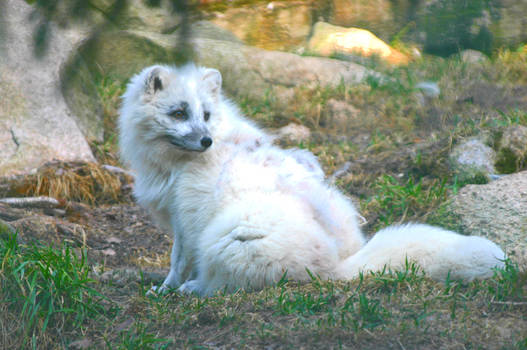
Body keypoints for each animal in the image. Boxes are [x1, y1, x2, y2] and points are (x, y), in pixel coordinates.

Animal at [119, 63, 508, 296]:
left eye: (206, 115)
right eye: (179, 113)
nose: (205, 141)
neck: (173, 163)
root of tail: (336, 267)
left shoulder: (186, 221)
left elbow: (177, 261)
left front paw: (166, 289)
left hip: (224, 237)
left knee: (222, 284)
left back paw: (194, 289)